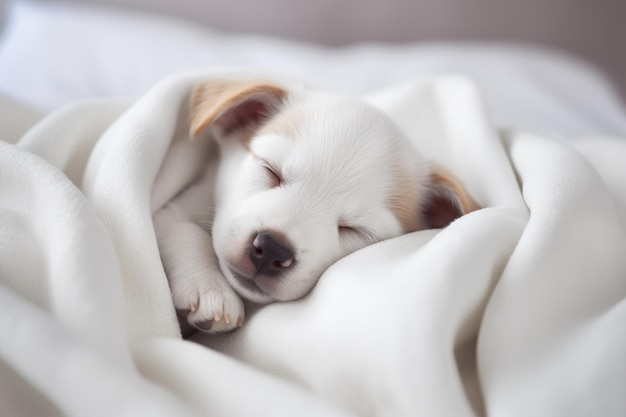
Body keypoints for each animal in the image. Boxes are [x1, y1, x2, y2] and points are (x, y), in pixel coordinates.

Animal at [152, 77, 478, 332]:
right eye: (271, 170)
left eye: (354, 230)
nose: (272, 248)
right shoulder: (173, 210)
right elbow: (185, 231)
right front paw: (210, 288)